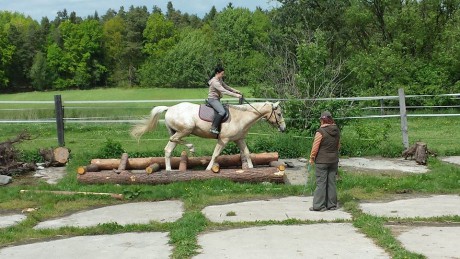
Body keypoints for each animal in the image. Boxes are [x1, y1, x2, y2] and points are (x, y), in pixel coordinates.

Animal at [130, 100, 284, 172]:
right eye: (279, 114)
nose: (283, 128)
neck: (240, 116)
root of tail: (170, 108)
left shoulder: (239, 139)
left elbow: (247, 152)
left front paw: (251, 168)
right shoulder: (223, 140)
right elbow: (215, 154)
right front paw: (209, 168)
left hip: (177, 131)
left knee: (168, 149)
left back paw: (169, 170)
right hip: (185, 129)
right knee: (175, 140)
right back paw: (191, 147)